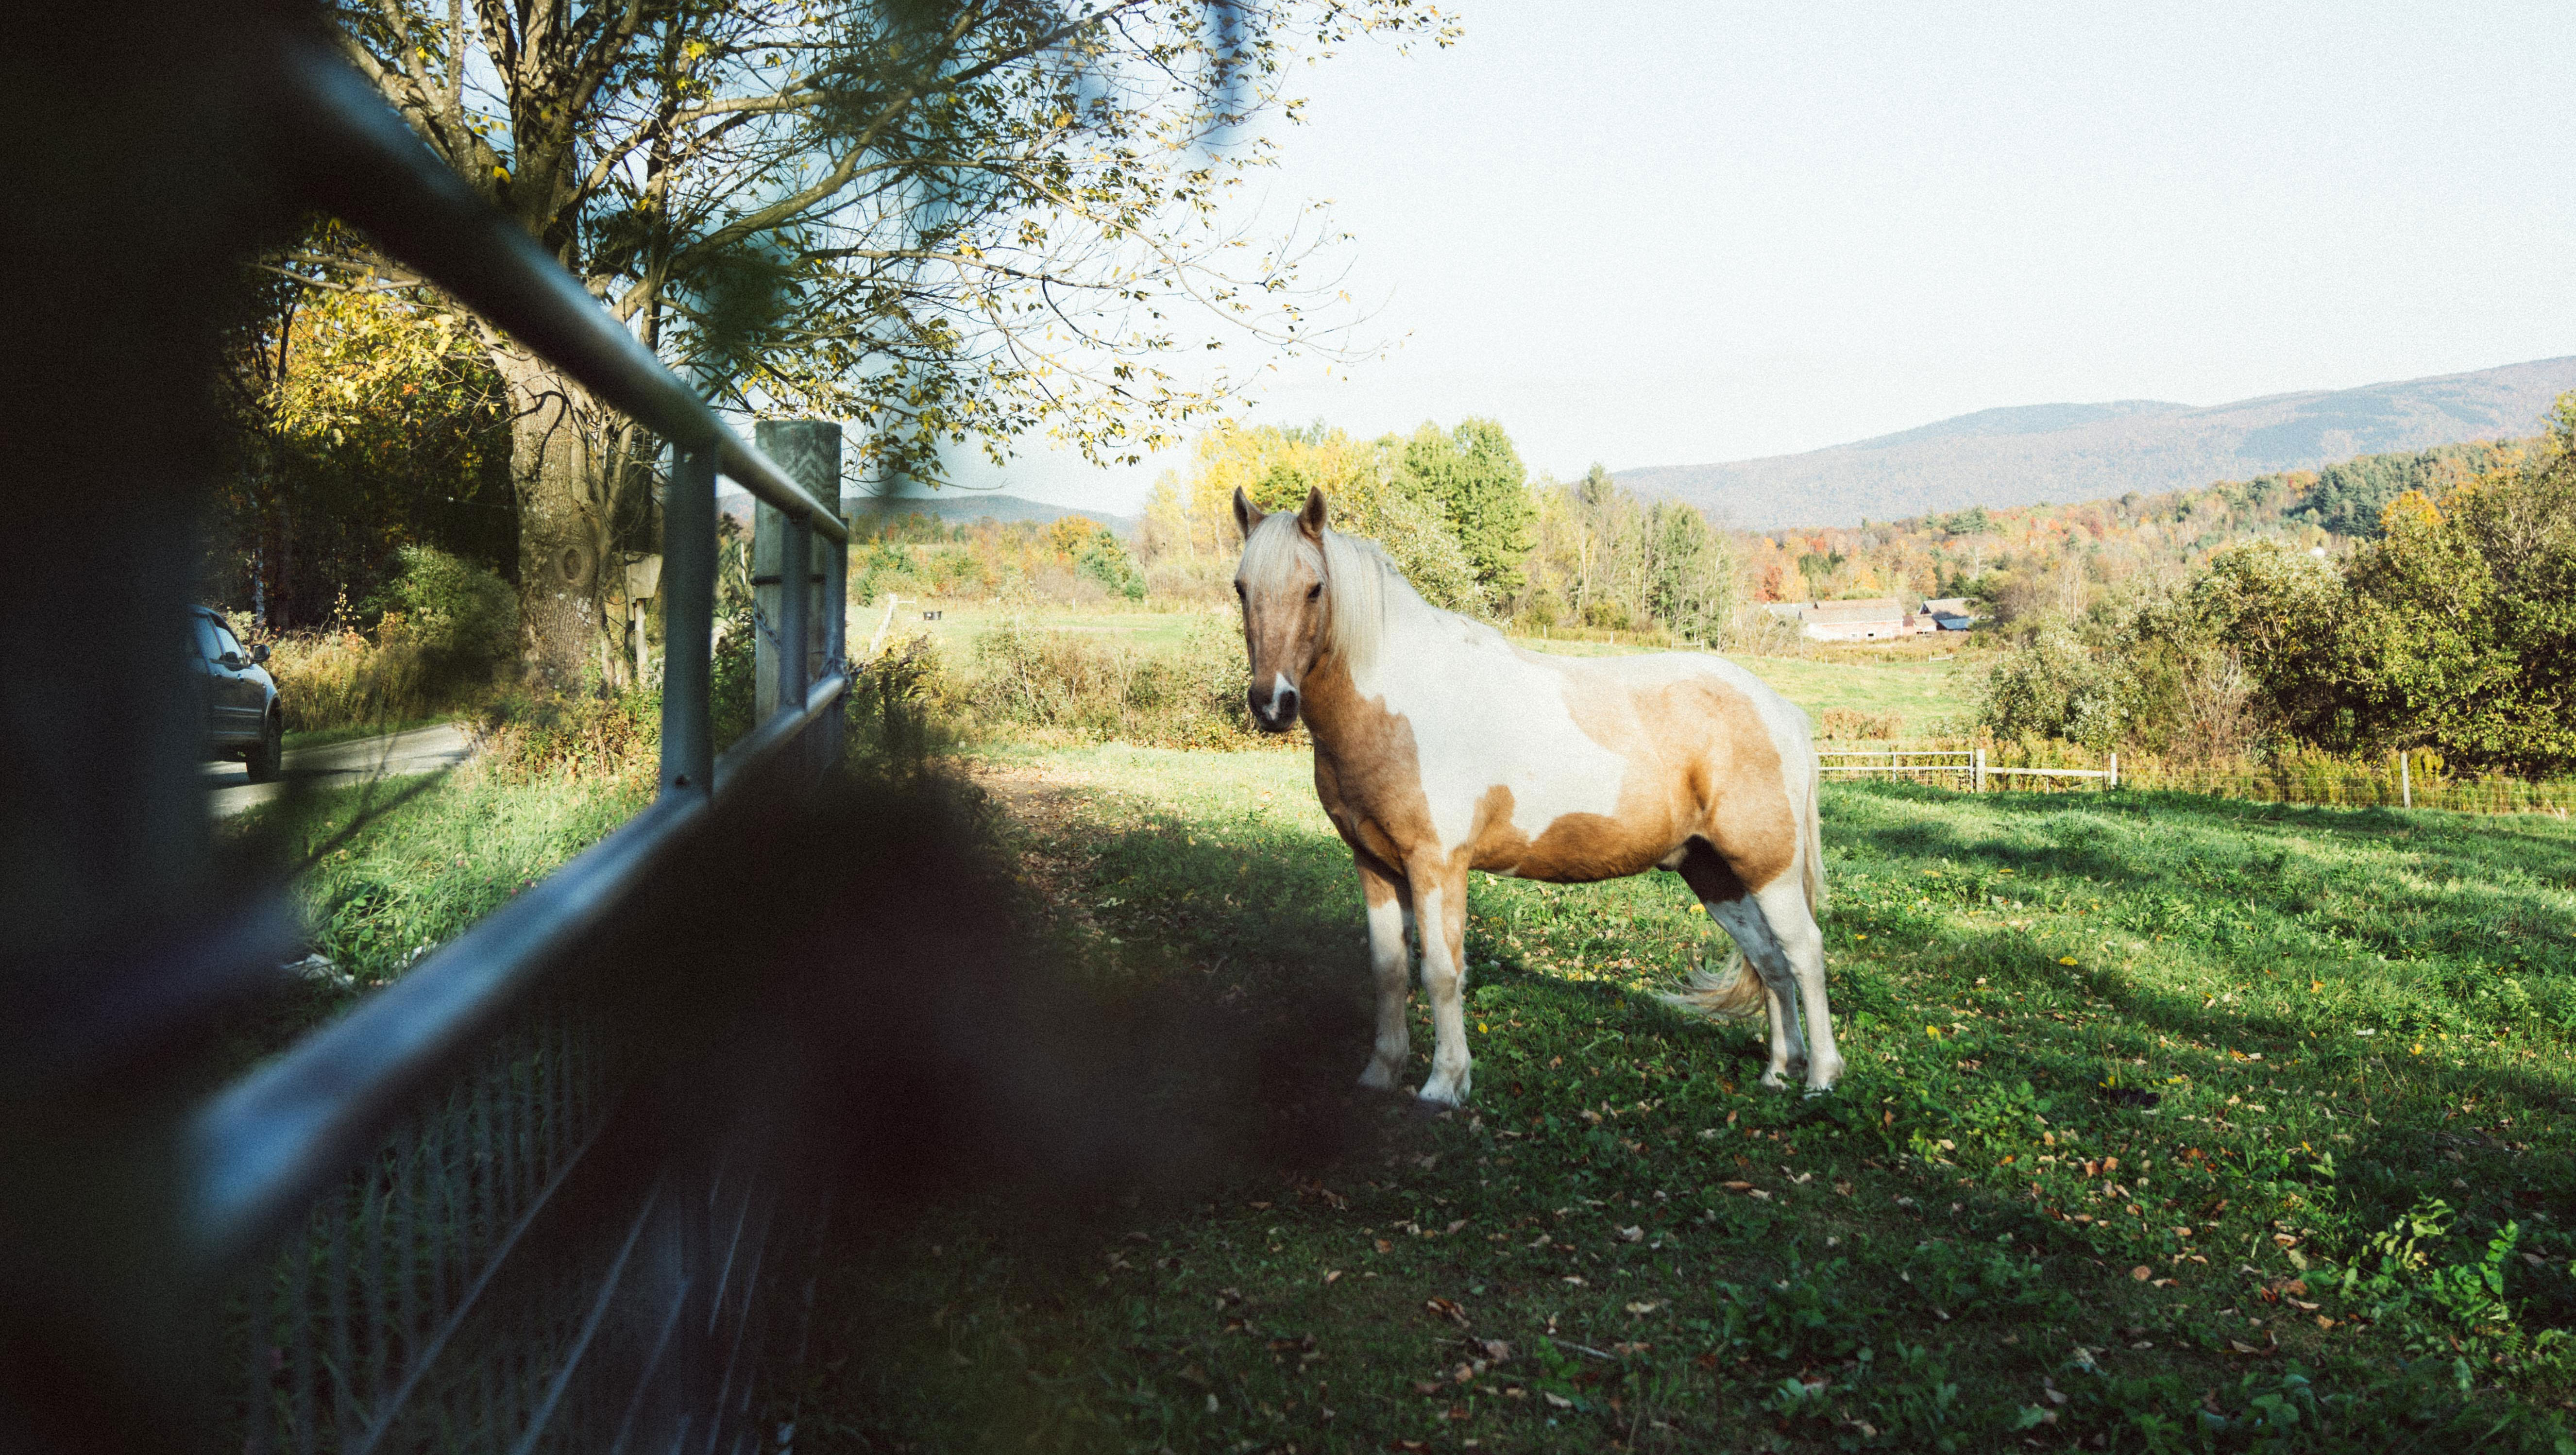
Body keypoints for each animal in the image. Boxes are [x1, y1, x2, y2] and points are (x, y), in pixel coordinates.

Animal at [1231, 485, 1844, 1107]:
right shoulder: (1375, 864)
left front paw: (1444, 1085)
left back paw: (1821, 1077)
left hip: (1768, 867)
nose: (1272, 703)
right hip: (1715, 872)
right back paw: (1778, 1071)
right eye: (1241, 587)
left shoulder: (1437, 865)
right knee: (1770, 959)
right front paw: (1380, 1074)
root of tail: (1782, 711)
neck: (1400, 702)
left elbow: (1442, 972)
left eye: (1314, 588)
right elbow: (1389, 970)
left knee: (1804, 953)